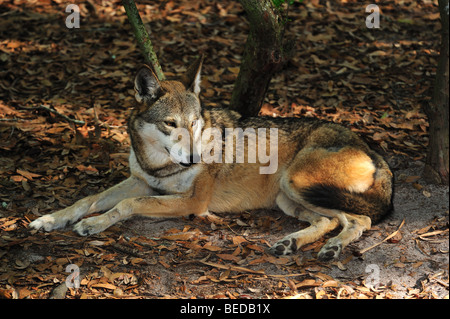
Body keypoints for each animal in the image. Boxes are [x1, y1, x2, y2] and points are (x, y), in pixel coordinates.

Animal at [29, 57, 392, 262]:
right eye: (170, 123)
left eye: (193, 122)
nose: (193, 158)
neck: (158, 165)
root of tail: (375, 153)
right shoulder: (140, 181)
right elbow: (88, 200)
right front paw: (50, 219)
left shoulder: (192, 202)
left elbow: (126, 205)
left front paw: (92, 225)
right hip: (287, 199)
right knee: (328, 222)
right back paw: (288, 244)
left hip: (298, 184)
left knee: (360, 220)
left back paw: (332, 249)